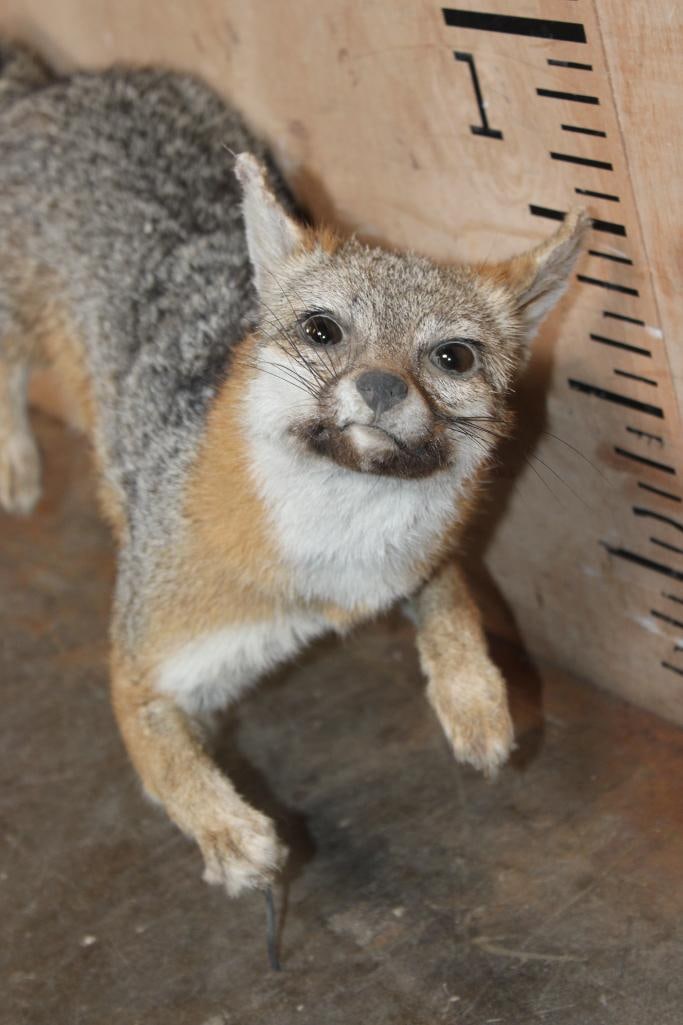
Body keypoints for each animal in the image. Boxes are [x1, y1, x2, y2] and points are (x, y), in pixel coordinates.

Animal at [0, 41, 586, 899]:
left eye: (452, 357)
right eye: (322, 331)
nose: (380, 387)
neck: (328, 561)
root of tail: (59, 86)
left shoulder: (415, 563)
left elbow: (453, 606)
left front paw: (474, 700)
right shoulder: (139, 659)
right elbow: (165, 759)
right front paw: (225, 828)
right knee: (6, 369)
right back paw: (15, 458)